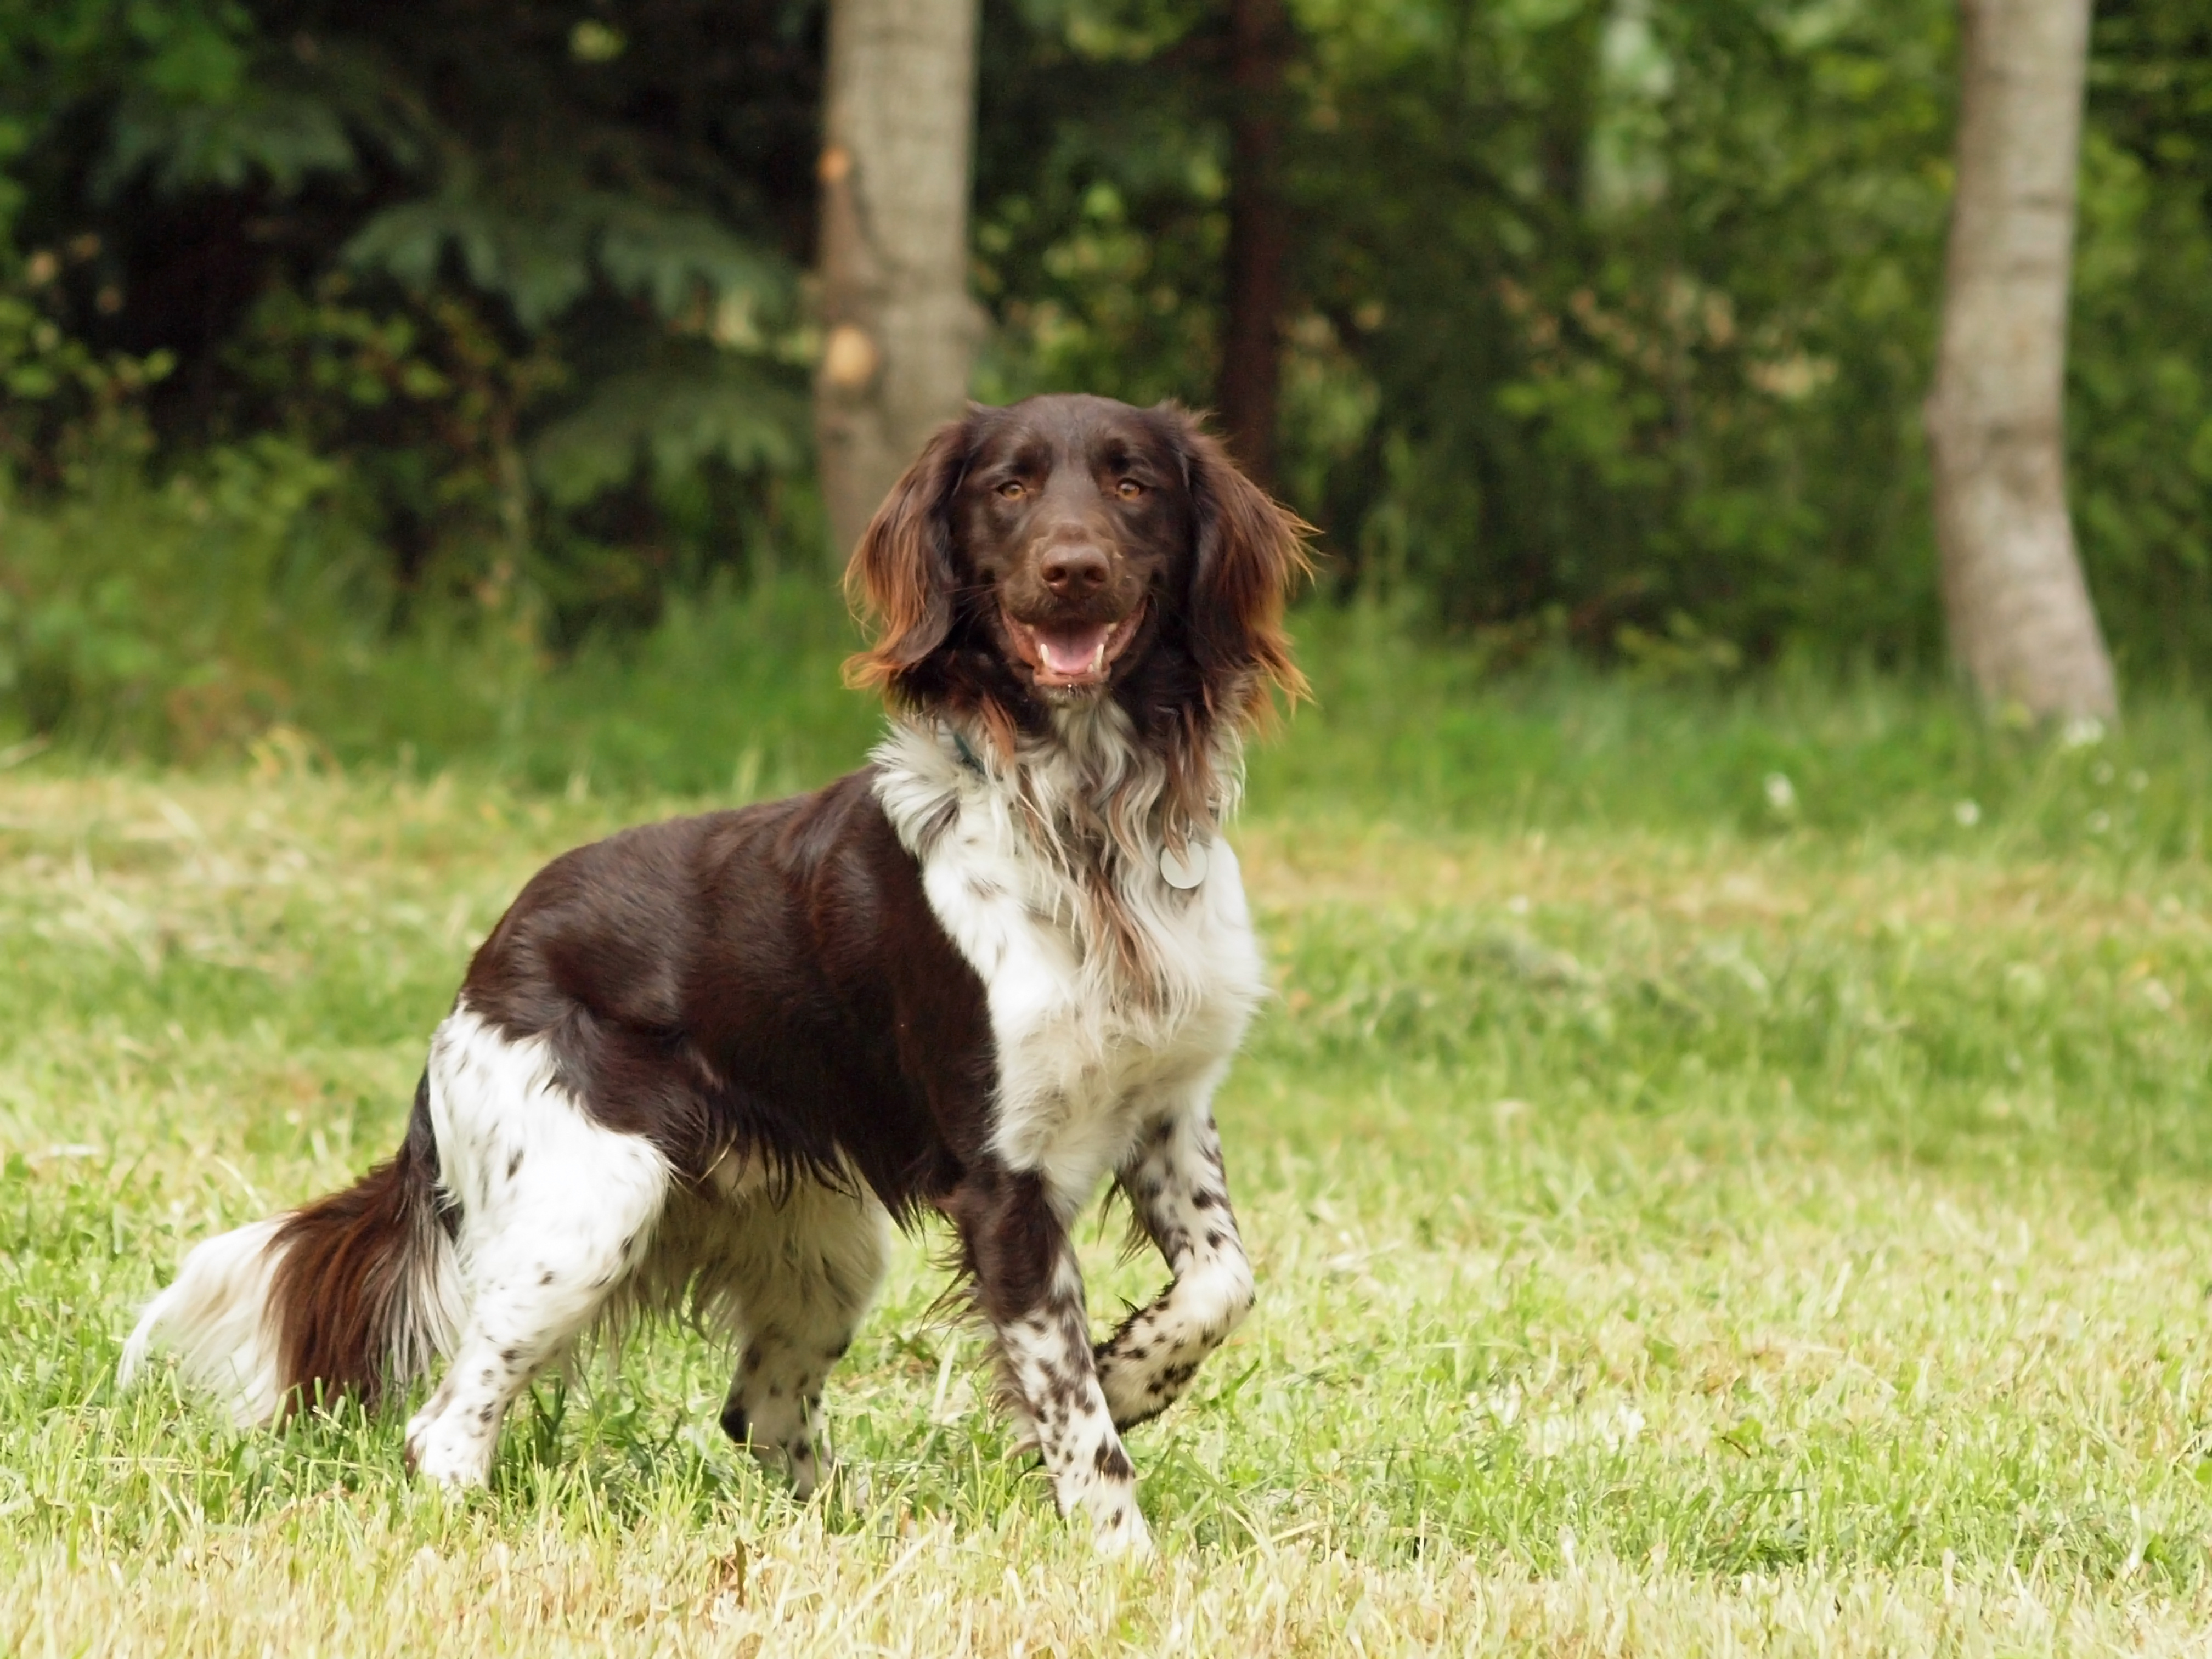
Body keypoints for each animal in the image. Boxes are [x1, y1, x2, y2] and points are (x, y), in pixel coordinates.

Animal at [121, 393, 1309, 1557]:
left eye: (1132, 483)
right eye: (1010, 487)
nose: (1072, 567)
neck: (1092, 828)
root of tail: (479, 973)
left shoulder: (1166, 1103)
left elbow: (1222, 1283)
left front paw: (1133, 1369)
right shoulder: (1004, 1179)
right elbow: (1078, 1424)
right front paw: (1124, 1561)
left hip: (826, 1249)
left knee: (762, 1412)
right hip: (589, 1207)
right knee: (446, 1422)